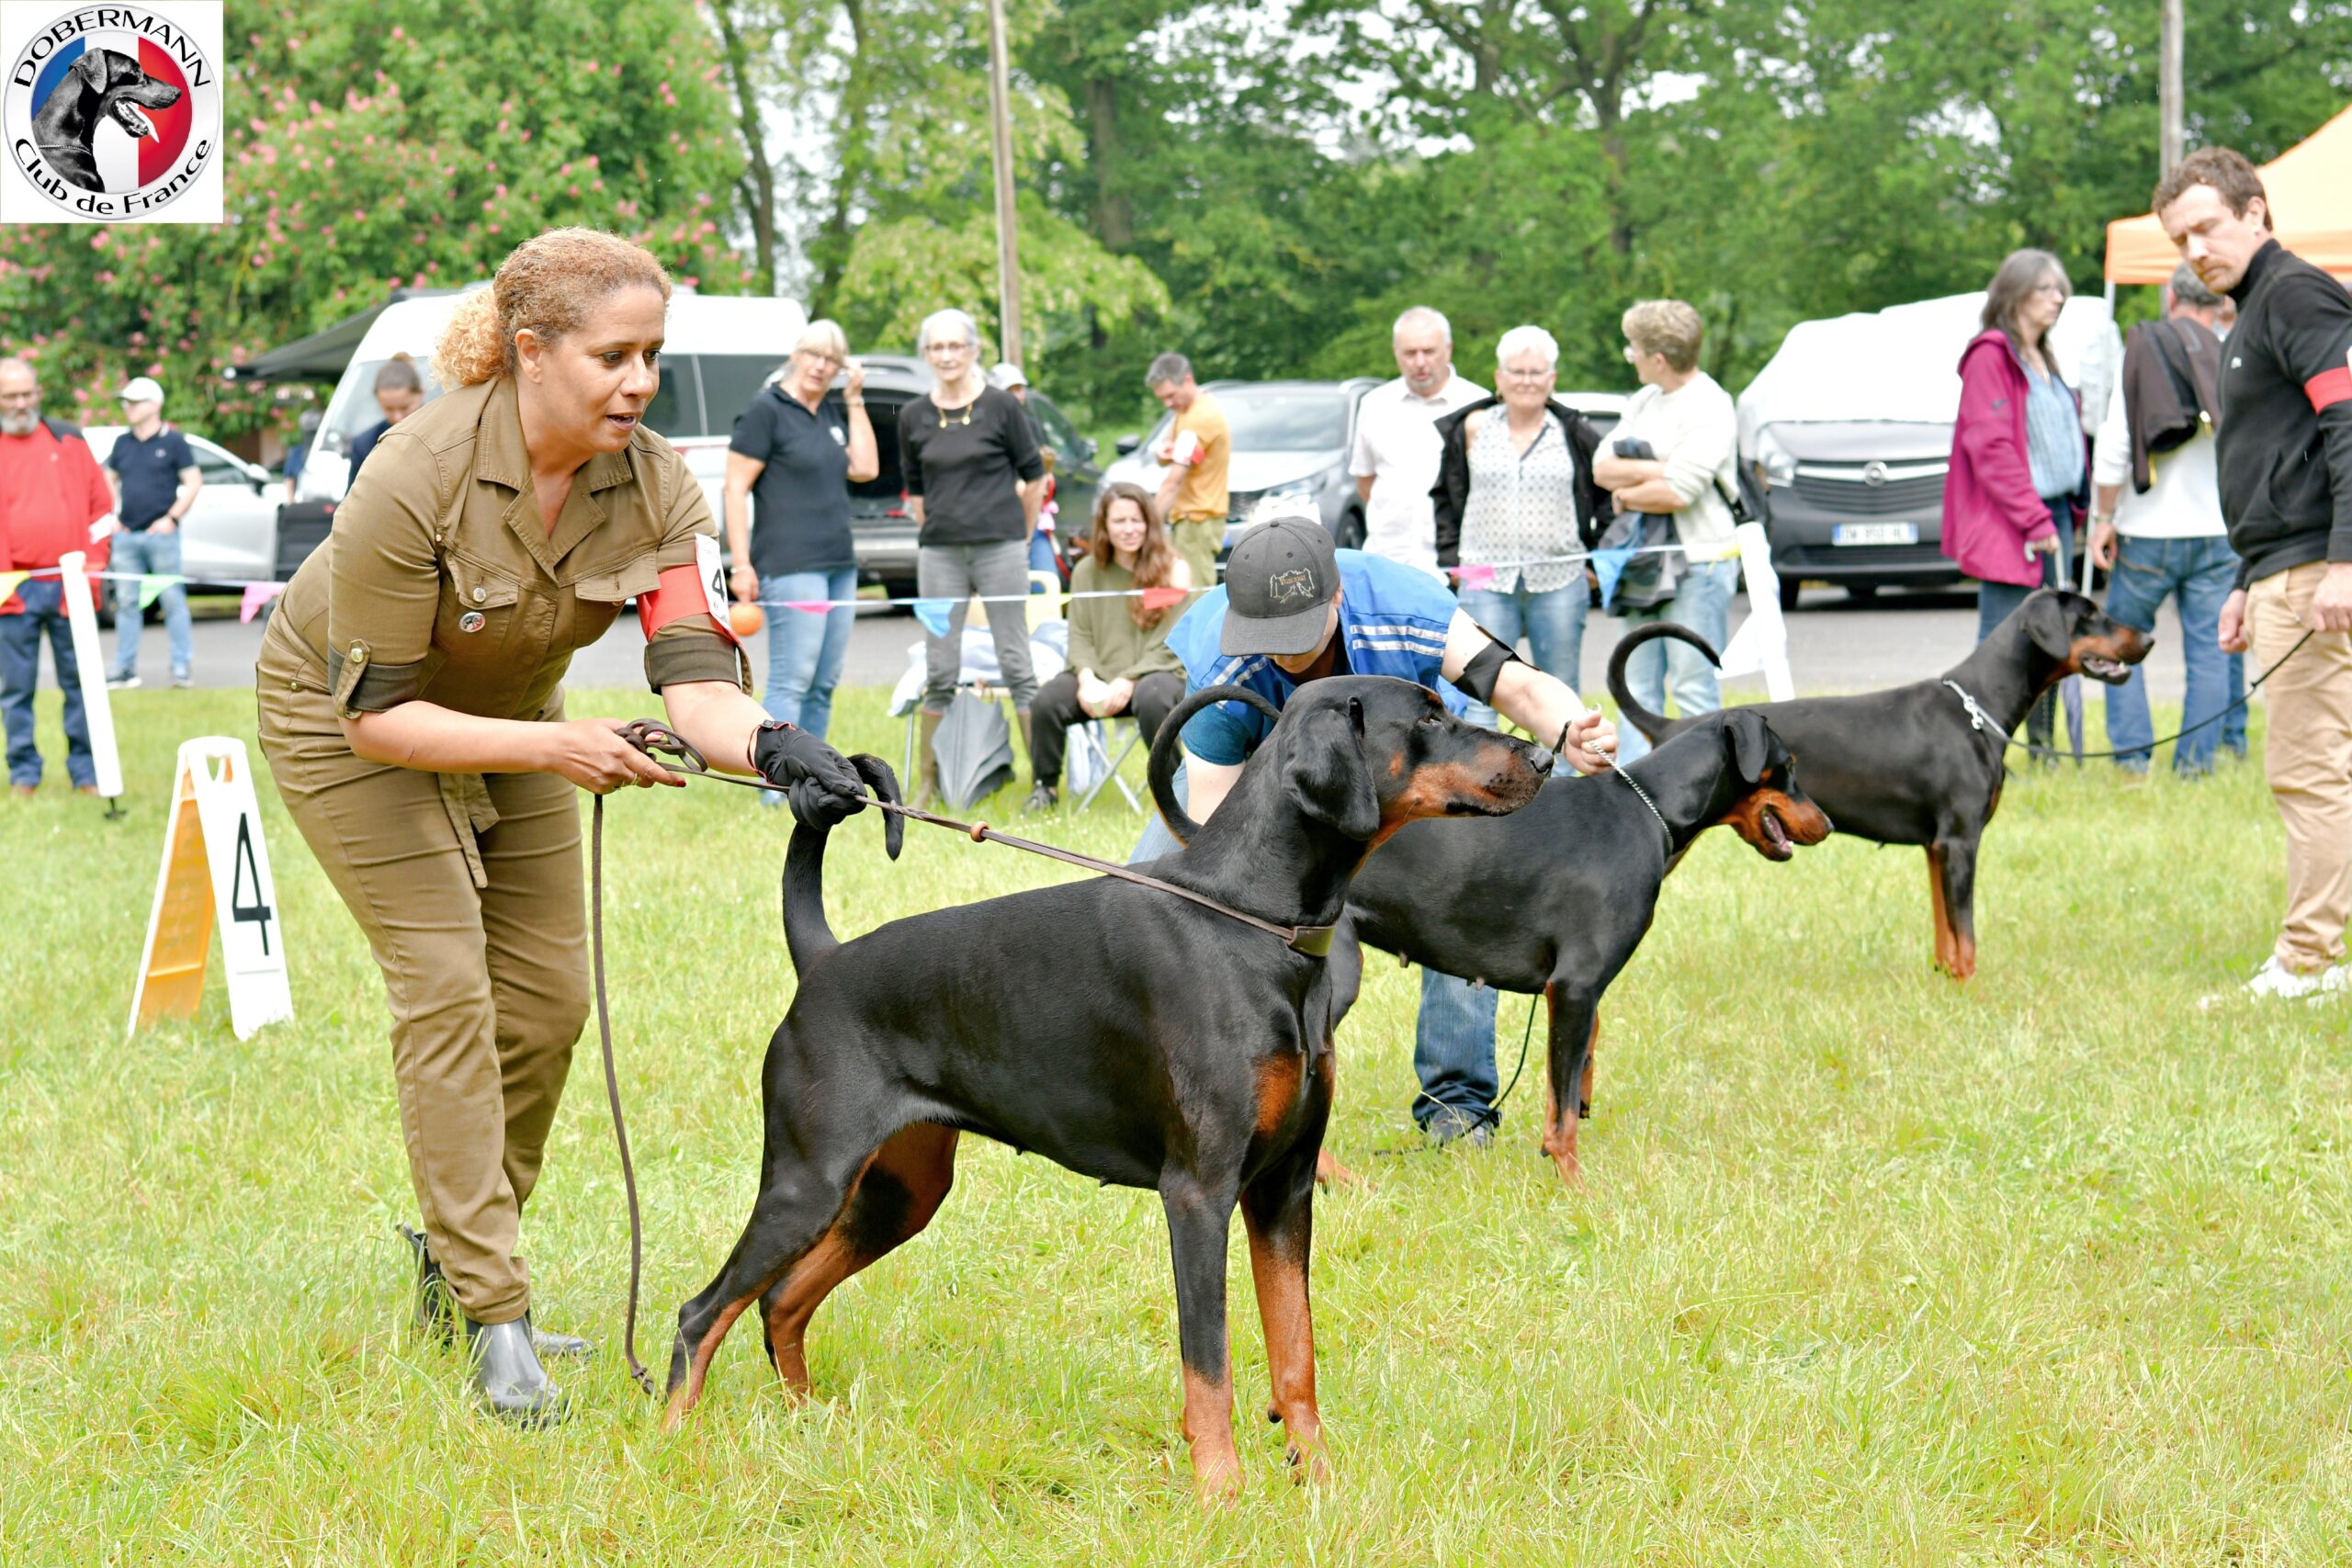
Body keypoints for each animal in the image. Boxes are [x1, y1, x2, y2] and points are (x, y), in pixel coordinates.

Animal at [663, 677, 1552, 1501]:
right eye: (1430, 715)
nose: (1545, 755)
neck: (1252, 919)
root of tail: (823, 957)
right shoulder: (1199, 1193)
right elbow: (1210, 1364)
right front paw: (1222, 1494)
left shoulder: (1285, 1186)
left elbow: (1295, 1349)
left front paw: (1318, 1477)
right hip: (807, 1181)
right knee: (702, 1312)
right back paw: (673, 1444)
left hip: (899, 1192)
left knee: (780, 1300)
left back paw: (805, 1419)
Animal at [1340, 708, 1831, 1185]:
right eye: (1789, 766)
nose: (1826, 825)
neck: (1649, 810)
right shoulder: (1575, 987)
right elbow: (1563, 1115)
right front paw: (1577, 1186)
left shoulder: (1577, 994)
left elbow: (1573, 1079)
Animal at [1607, 589, 2149, 979]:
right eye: (2092, 615)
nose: (2149, 639)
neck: (1976, 709)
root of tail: (1672, 728)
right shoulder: (1962, 841)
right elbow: (1968, 936)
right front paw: (1973, 992)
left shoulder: (1937, 847)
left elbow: (1946, 931)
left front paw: (1946, 981)